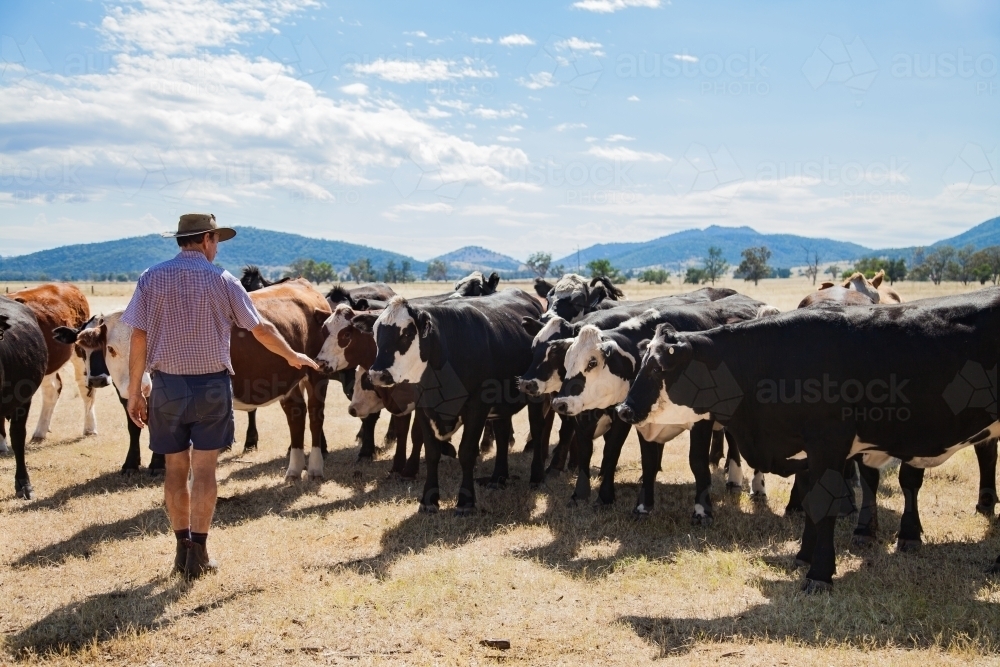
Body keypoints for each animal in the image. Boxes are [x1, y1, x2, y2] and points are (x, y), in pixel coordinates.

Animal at [0, 282, 94, 448]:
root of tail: (67, 285)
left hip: (80, 353)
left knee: (85, 387)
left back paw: (90, 428)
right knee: (53, 389)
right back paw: (40, 432)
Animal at [370, 290, 548, 516]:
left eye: (407, 334)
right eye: (375, 333)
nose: (377, 374)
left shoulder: (477, 408)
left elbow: (467, 452)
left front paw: (465, 502)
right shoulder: (424, 407)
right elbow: (432, 452)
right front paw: (429, 500)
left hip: (535, 395)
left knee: (537, 429)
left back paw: (537, 477)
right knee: (502, 434)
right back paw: (498, 478)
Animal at [548, 294, 772, 520]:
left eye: (592, 362)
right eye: (567, 363)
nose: (560, 403)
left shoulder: (695, 420)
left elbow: (613, 452)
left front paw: (604, 498)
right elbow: (601, 454)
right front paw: (580, 495)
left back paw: (749, 484)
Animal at [616, 290, 1000, 592]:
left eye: (658, 368)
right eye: (641, 364)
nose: (624, 409)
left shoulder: (829, 446)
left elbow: (823, 504)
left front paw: (819, 574)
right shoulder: (811, 453)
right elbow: (811, 502)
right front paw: (804, 556)